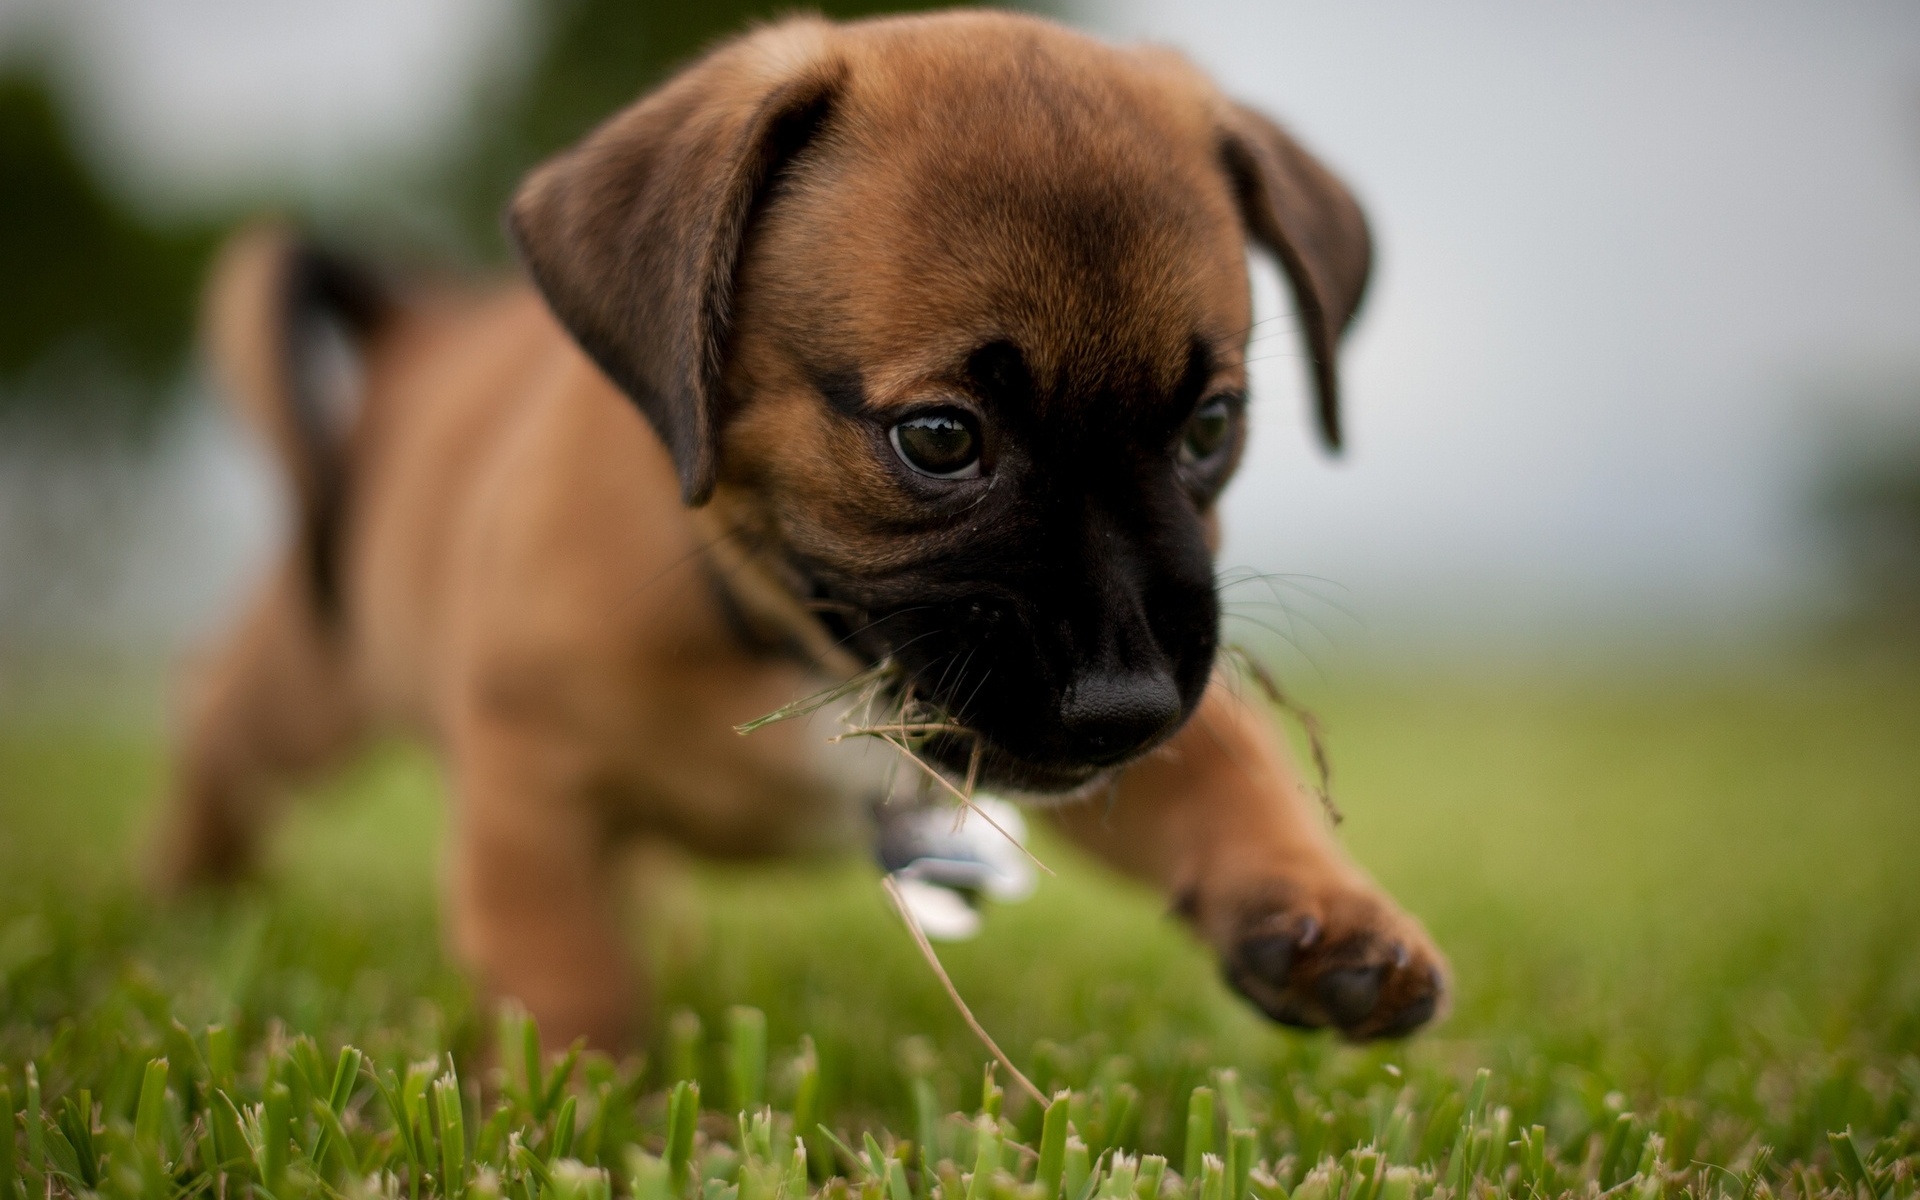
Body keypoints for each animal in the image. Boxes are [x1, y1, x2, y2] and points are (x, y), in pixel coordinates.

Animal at [165, 14, 1443, 1052]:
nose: (1126, 707)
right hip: (300, 689)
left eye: (1211, 427)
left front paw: (1325, 912)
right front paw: (581, 1099)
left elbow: (1233, 772)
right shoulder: (526, 788)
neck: (775, 631)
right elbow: (567, 974)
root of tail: (412, 332)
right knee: (218, 764)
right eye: (939, 438)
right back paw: (179, 910)